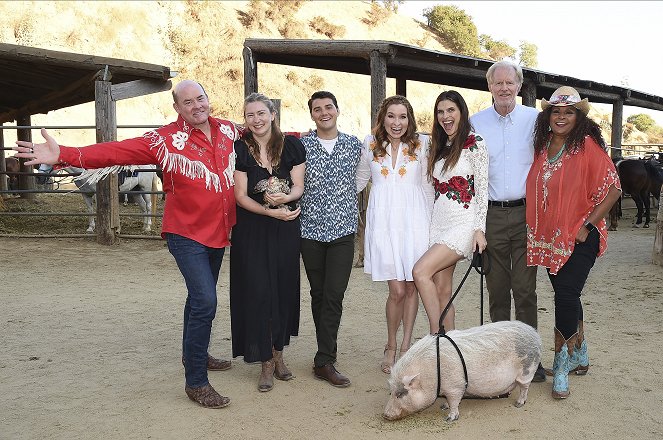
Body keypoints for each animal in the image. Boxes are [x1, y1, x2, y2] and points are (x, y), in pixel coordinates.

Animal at [382, 322, 544, 422]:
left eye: (400, 394)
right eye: (391, 392)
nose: (385, 415)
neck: (431, 374)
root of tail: (535, 334)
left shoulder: (455, 386)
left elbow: (454, 402)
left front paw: (449, 418)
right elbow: (449, 401)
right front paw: (443, 406)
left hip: (527, 370)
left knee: (524, 387)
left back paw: (519, 404)